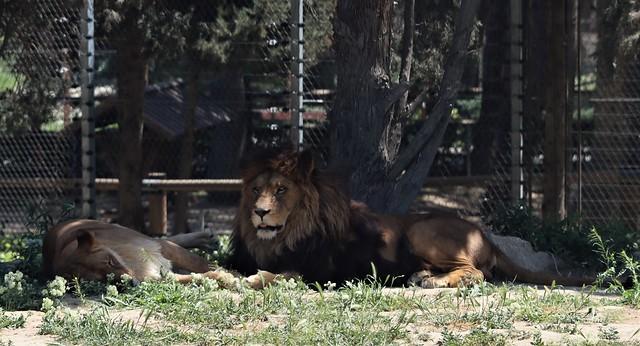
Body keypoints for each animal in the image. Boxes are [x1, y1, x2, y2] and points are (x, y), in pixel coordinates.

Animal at [228, 150, 592, 288]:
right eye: (256, 189)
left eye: (281, 190)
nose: (259, 212)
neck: (282, 235)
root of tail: (485, 235)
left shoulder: (317, 271)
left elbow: (276, 275)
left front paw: (252, 279)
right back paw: (421, 275)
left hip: (422, 230)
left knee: (477, 273)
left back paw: (431, 281)